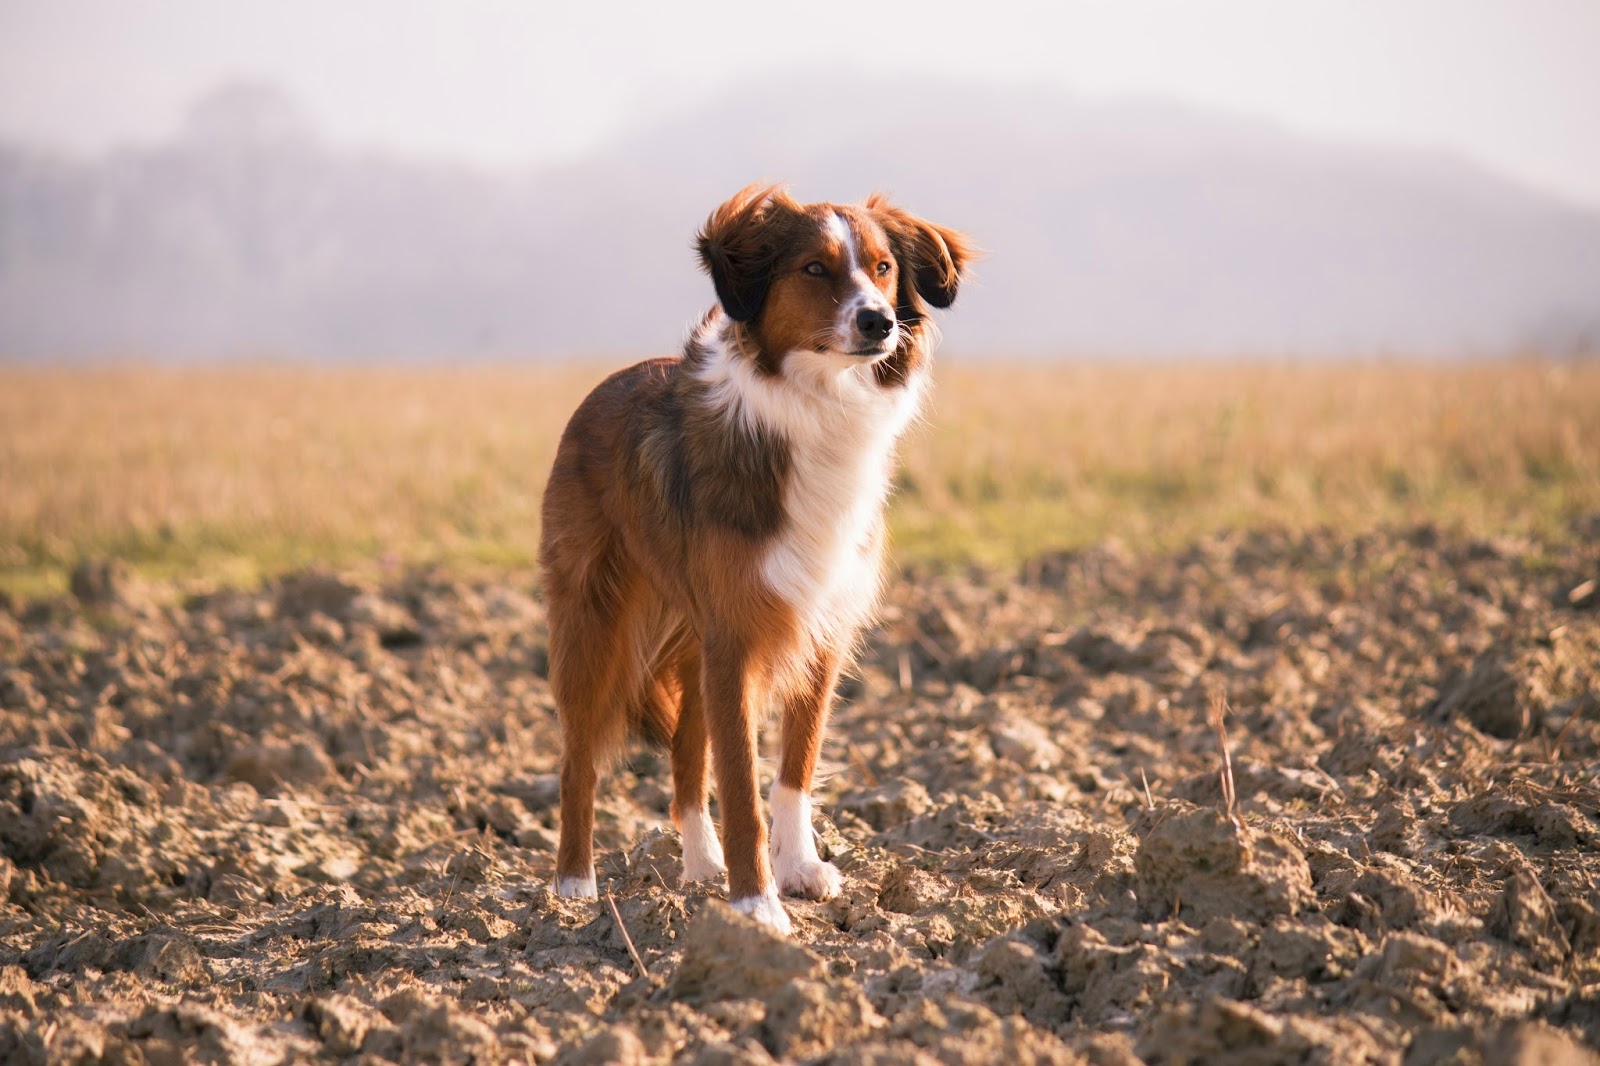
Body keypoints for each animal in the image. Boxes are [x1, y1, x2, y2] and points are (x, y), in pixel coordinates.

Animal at [537, 182, 966, 928]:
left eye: (883, 267)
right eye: (814, 269)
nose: (880, 322)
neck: (818, 402)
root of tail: (602, 389)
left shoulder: (818, 627)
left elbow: (794, 771)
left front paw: (798, 871)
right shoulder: (735, 636)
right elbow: (740, 781)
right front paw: (755, 904)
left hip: (692, 637)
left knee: (686, 753)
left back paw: (700, 866)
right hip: (593, 623)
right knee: (579, 760)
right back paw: (574, 886)